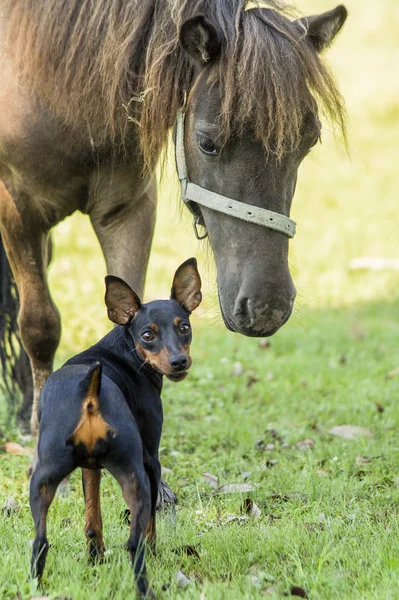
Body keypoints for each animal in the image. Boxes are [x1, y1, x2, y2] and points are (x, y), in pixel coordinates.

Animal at [0, 0, 346, 436]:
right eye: (207, 143)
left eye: (310, 141)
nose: (267, 307)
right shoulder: (18, 211)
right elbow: (39, 325)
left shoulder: (127, 208)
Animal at [30, 256, 203, 596]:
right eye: (147, 335)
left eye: (185, 329)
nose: (179, 362)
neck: (124, 351)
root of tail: (89, 392)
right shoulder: (151, 460)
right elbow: (150, 525)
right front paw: (155, 551)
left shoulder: (90, 467)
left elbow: (92, 517)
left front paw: (95, 559)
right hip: (136, 474)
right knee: (135, 543)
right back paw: (145, 585)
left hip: (42, 479)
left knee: (40, 542)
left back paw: (38, 585)